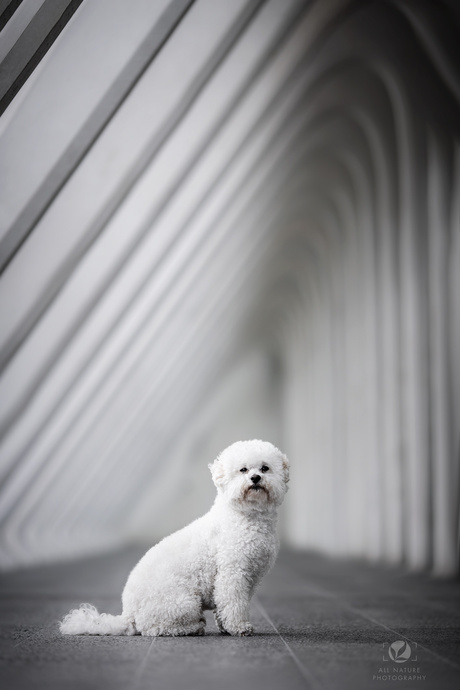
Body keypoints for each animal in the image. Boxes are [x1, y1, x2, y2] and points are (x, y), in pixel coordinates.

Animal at [60, 438, 288, 636]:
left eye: (265, 468)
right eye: (243, 470)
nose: (255, 478)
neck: (245, 516)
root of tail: (128, 614)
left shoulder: (252, 577)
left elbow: (226, 605)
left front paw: (225, 627)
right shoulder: (233, 573)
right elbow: (233, 603)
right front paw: (239, 628)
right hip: (184, 602)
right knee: (154, 628)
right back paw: (194, 627)